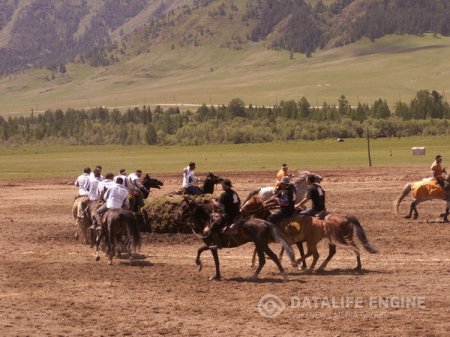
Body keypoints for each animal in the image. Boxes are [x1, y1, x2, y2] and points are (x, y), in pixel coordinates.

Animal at [241, 196, 378, 272]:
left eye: (250, 203)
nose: (241, 209)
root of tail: (346, 216)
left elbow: (257, 248)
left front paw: (253, 262)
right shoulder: (298, 241)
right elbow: (300, 252)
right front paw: (302, 265)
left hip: (339, 238)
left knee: (345, 249)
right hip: (340, 238)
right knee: (345, 249)